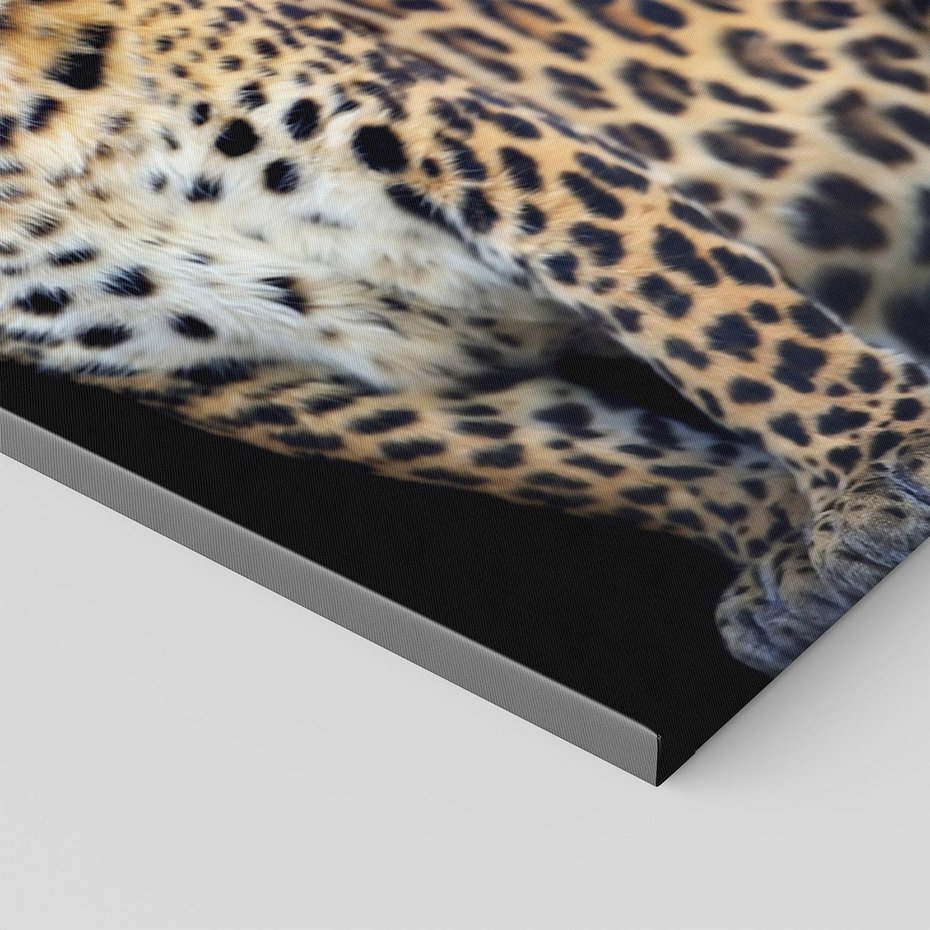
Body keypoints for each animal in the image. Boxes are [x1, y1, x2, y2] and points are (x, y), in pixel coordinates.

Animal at [2, 0, 930, 676]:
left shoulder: (434, 121)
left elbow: (704, 308)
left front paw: (883, 458)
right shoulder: (246, 374)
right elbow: (582, 457)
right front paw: (787, 554)